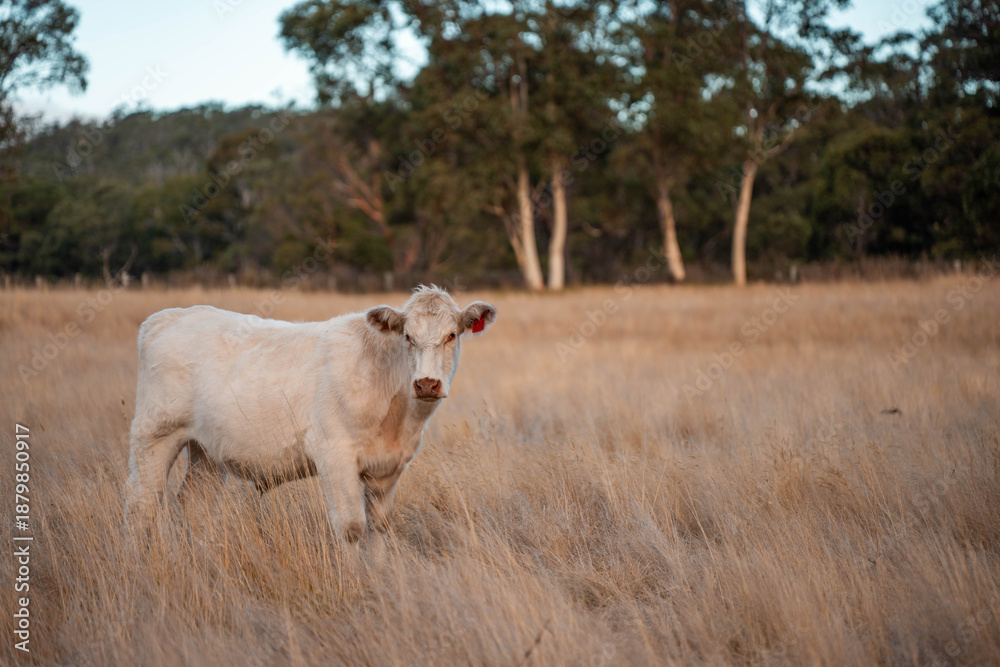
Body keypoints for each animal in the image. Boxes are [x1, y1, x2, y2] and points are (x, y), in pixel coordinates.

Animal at [124, 285, 497, 544]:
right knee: (141, 504)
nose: (427, 384)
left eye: (452, 335)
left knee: (195, 504)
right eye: (407, 336)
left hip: (207, 450)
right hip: (154, 435)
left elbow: (379, 528)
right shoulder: (334, 456)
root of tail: (165, 317)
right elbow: (351, 528)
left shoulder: (389, 467)